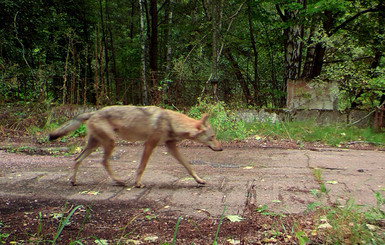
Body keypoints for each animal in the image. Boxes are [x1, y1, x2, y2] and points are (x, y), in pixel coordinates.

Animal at [48, 105, 222, 188]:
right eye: (213, 137)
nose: (221, 149)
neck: (171, 121)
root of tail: (93, 112)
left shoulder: (171, 146)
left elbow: (188, 167)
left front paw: (199, 180)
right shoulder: (150, 144)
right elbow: (141, 167)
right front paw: (138, 183)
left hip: (95, 145)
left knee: (77, 159)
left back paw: (73, 181)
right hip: (109, 143)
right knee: (103, 161)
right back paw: (119, 181)